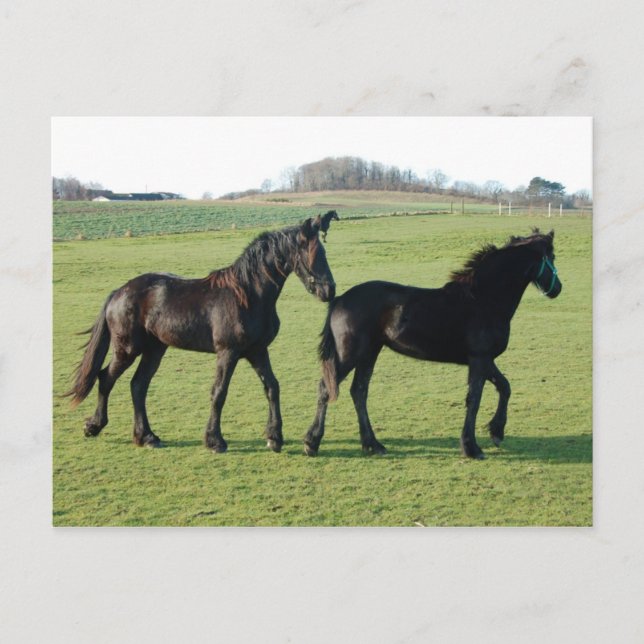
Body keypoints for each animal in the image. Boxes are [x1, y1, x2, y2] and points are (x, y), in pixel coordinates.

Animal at [66, 211, 339, 453]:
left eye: (324, 252)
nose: (329, 291)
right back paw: (95, 426)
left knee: (138, 385)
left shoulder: (257, 351)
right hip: (127, 349)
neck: (248, 295)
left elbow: (272, 387)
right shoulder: (228, 353)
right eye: (314, 254)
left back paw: (147, 436)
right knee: (106, 378)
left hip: (155, 350)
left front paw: (274, 438)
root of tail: (118, 292)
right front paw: (215, 441)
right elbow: (219, 393)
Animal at [304, 228, 561, 460]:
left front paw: (496, 432)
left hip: (369, 353)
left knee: (359, 391)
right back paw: (312, 443)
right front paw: (471, 447)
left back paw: (372, 444)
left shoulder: (484, 360)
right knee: (326, 388)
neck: (484, 300)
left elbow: (504, 387)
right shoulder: (479, 359)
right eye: (552, 257)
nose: (557, 289)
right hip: (349, 355)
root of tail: (339, 300)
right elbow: (474, 399)